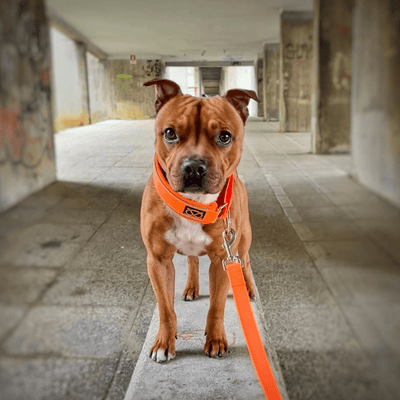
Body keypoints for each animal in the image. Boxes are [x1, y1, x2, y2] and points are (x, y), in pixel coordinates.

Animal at [140, 78, 260, 362]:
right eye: (170, 133)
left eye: (224, 136)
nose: (194, 166)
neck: (194, 205)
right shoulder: (158, 261)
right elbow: (165, 308)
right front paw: (163, 342)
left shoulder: (223, 260)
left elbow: (216, 305)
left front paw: (215, 340)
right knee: (193, 260)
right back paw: (191, 287)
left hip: (242, 242)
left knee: (246, 261)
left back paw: (248, 288)